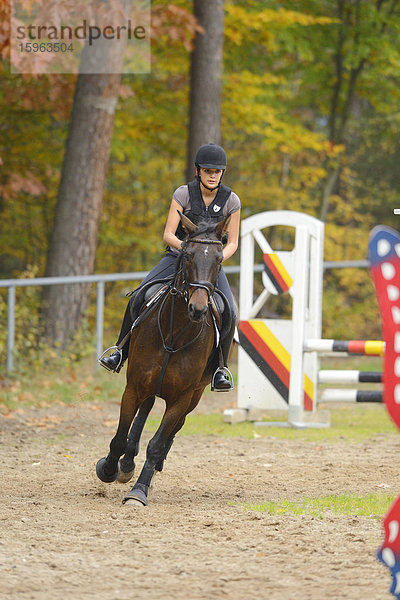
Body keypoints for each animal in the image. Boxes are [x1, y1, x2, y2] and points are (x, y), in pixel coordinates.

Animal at [95, 213, 231, 504]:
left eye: (219, 259)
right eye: (188, 255)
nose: (198, 309)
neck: (173, 335)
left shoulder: (182, 398)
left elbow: (158, 444)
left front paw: (139, 491)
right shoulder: (134, 386)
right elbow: (120, 436)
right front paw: (109, 469)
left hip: (194, 395)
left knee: (173, 431)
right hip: (149, 386)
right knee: (144, 412)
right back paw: (126, 465)